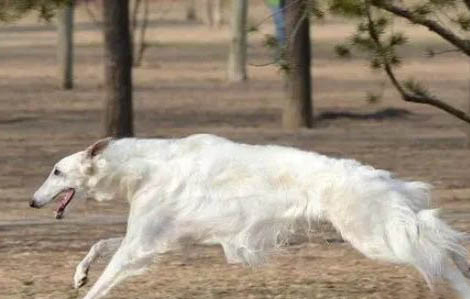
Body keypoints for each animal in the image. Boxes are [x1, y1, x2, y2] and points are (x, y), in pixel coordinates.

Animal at [30, 135, 470, 298]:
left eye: (56, 171)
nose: (32, 202)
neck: (146, 166)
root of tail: (379, 178)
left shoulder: (140, 244)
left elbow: (103, 279)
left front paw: (86, 284)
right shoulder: (151, 240)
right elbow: (98, 245)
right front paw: (79, 274)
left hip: (376, 237)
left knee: (439, 258)